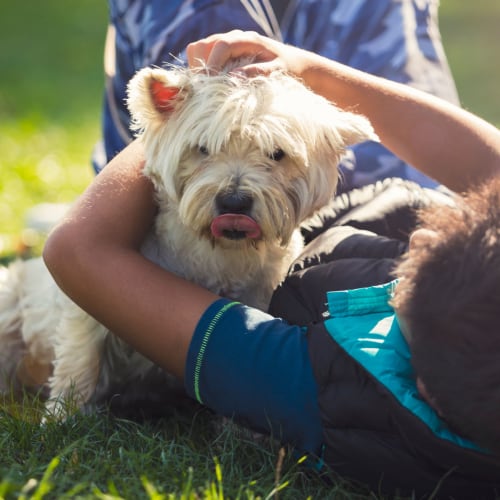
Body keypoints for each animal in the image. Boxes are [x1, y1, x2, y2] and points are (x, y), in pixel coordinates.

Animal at [0, 62, 376, 416]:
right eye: (202, 149)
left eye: (277, 154)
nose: (234, 202)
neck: (219, 252)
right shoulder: (85, 297)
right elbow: (80, 358)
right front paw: (62, 417)